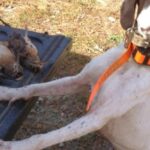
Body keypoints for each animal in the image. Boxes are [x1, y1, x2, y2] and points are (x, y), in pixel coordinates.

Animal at [0, 0, 150, 150]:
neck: (133, 61)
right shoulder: (79, 80)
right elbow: (33, 87)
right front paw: (6, 92)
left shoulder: (97, 117)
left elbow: (44, 138)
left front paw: (11, 146)